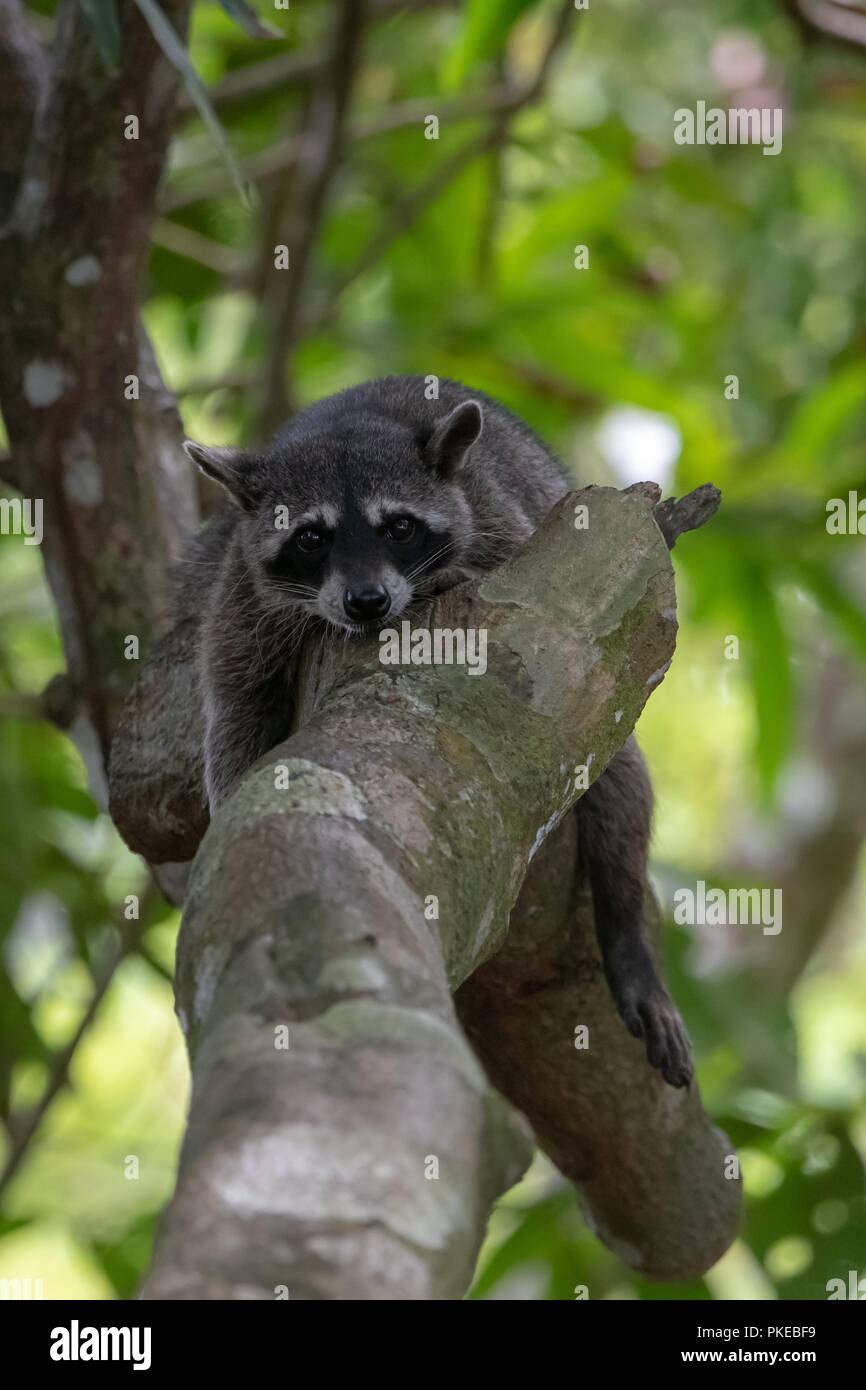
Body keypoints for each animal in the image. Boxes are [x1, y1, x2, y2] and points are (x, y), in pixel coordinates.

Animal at [179, 378, 695, 1084]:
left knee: (620, 783)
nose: (366, 601)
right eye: (311, 538)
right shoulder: (243, 603)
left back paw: (624, 932)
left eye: (399, 527)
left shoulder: (505, 525)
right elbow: (234, 720)